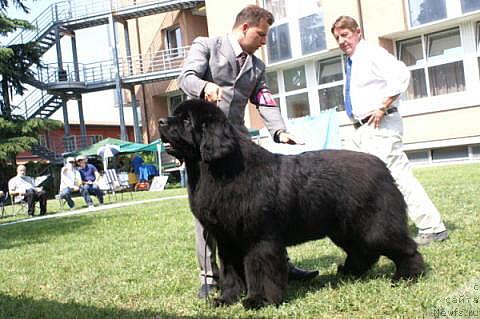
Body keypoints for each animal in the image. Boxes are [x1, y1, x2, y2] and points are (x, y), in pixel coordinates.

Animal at [160, 99, 424, 310]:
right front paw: (226, 299)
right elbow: (230, 273)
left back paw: (407, 277)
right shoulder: (227, 241)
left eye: (186, 120)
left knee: (405, 248)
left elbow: (258, 270)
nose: (161, 121)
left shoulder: (259, 240)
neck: (220, 170)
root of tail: (381, 166)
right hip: (345, 229)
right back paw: (348, 272)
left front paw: (259, 300)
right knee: (363, 251)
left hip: (374, 226)